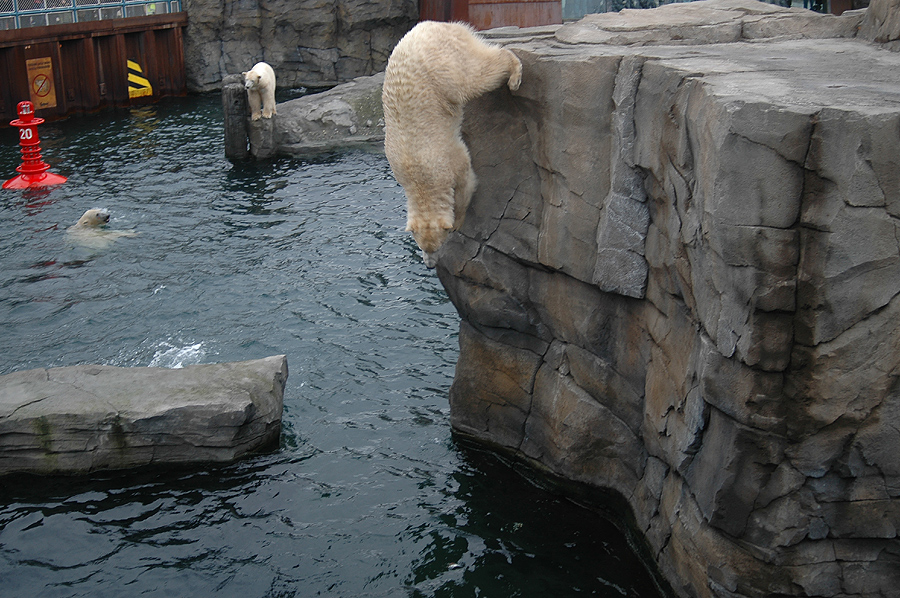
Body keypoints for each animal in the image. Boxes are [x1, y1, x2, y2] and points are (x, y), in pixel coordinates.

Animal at [384, 21, 524, 268]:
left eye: (437, 246)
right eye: (422, 247)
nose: (429, 265)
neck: (419, 178)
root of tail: (437, 24)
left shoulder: (448, 158)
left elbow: (467, 181)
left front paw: (459, 221)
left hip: (445, 68)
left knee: (474, 78)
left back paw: (514, 76)